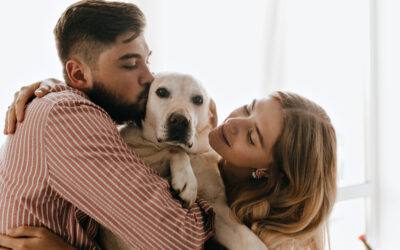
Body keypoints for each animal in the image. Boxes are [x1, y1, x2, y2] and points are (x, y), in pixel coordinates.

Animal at [98, 71, 268, 249]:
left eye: (198, 99)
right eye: (161, 92)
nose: (180, 121)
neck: (192, 154)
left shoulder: (217, 208)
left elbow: (250, 240)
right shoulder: (138, 153)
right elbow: (175, 150)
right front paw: (187, 182)